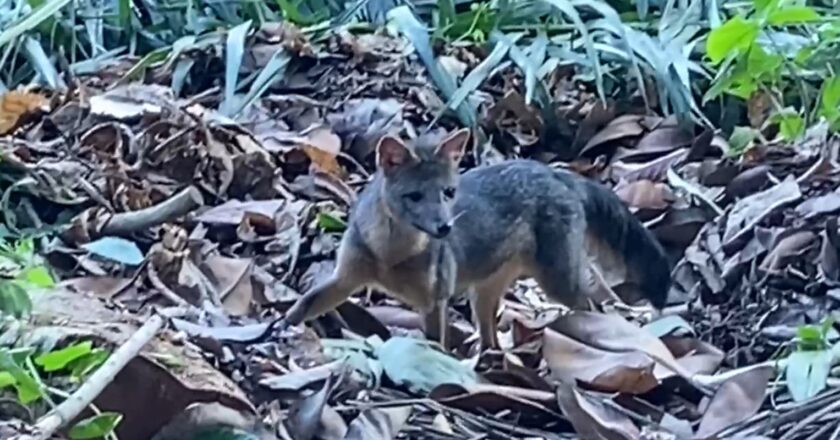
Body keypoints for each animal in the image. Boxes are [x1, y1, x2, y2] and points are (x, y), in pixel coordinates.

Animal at [286, 128, 672, 350]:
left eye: (448, 192)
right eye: (415, 196)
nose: (445, 228)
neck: (390, 257)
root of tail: (555, 172)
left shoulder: (435, 299)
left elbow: (434, 344)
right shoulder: (345, 279)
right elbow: (304, 305)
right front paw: (281, 328)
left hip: (559, 284)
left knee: (594, 306)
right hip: (483, 293)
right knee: (490, 337)